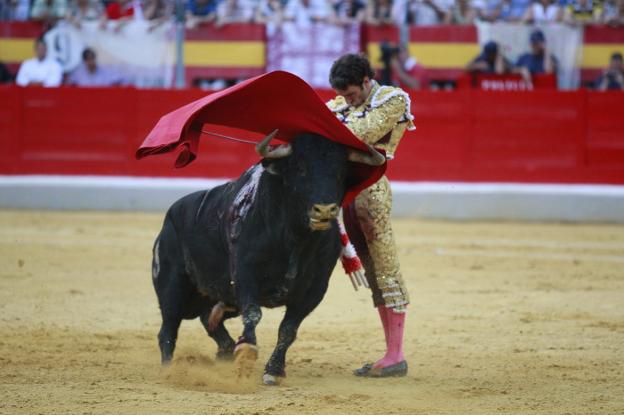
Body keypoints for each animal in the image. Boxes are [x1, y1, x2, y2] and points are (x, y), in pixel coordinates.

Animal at [152, 132, 386, 386]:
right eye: (299, 168)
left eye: (341, 171)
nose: (324, 210)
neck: (296, 237)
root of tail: (169, 216)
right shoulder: (245, 275)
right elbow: (254, 313)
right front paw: (246, 352)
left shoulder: (314, 290)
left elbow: (288, 328)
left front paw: (273, 369)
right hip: (172, 286)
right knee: (168, 329)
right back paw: (169, 371)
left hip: (218, 295)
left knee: (208, 319)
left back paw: (225, 350)